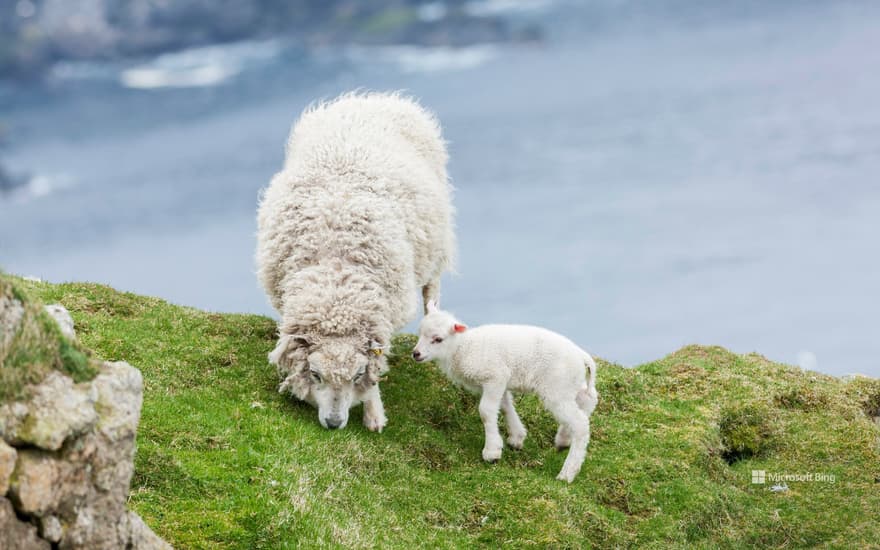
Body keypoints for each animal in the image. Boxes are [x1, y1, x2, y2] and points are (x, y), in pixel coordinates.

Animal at [256, 91, 454, 432]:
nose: (334, 423)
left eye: (357, 374)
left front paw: (374, 414)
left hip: (436, 241)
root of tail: (375, 98)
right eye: (316, 374)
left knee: (432, 289)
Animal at [410, 302, 600, 484]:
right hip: (569, 383)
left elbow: (486, 411)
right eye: (420, 333)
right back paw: (563, 439)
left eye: (438, 339)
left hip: (557, 387)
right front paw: (516, 437)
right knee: (588, 399)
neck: (462, 348)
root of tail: (582, 356)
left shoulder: (495, 375)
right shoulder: (499, 381)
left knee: (580, 424)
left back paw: (567, 473)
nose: (416, 354)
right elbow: (505, 405)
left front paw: (491, 452)